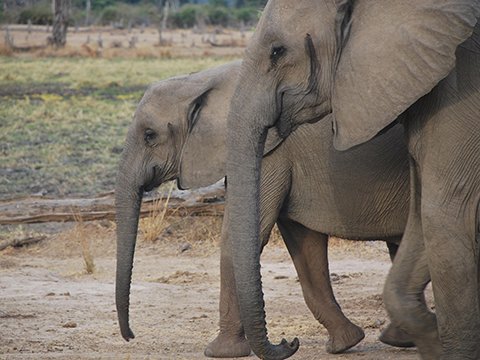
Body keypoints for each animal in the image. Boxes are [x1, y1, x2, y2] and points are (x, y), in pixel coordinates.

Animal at [115, 59, 412, 358]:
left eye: (150, 136)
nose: (289, 341)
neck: (205, 80)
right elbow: (304, 242)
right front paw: (344, 343)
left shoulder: (270, 152)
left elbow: (237, 237)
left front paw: (220, 352)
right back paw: (400, 336)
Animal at [227, 0, 480, 360]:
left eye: (277, 51)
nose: (289, 341)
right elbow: (421, 220)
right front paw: (430, 339)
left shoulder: (462, 97)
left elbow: (445, 216)